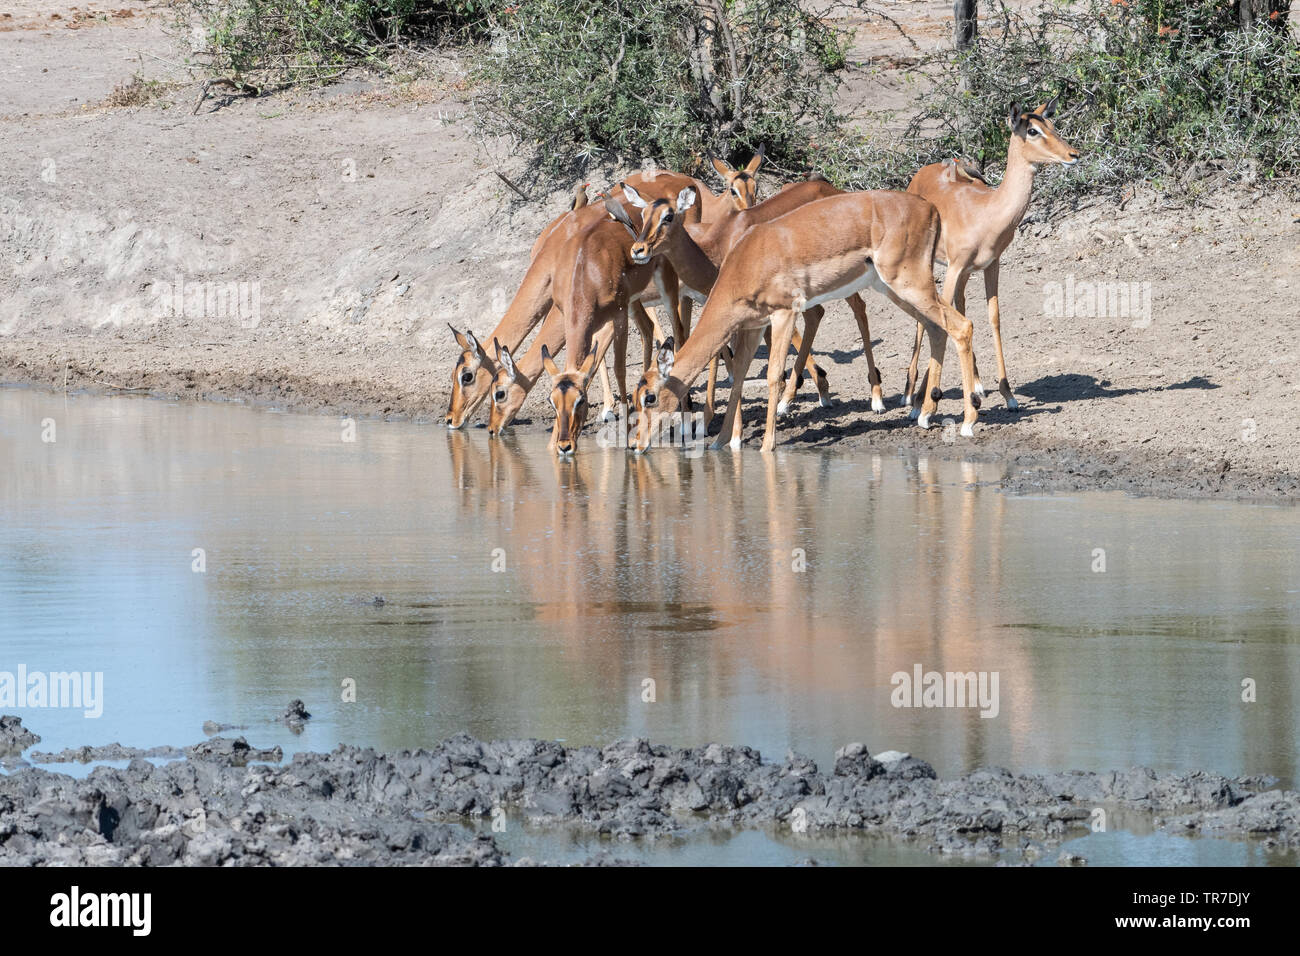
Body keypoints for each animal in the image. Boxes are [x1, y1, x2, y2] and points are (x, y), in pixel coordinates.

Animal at [632, 190, 980, 453]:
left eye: (650, 397)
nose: (636, 445)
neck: (744, 259)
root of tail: (930, 208)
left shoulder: (784, 313)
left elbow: (774, 375)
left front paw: (767, 445)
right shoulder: (753, 325)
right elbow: (739, 377)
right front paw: (721, 444)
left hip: (909, 285)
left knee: (962, 326)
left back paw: (966, 421)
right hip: (895, 290)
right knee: (937, 329)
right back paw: (922, 413)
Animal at [903, 98, 1079, 413]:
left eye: (1051, 124)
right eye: (1032, 130)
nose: (1073, 155)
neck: (986, 212)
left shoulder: (990, 264)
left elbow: (993, 316)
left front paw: (1008, 394)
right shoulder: (955, 267)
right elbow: (941, 319)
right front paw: (925, 401)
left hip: (964, 273)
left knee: (959, 307)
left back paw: (975, 385)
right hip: (931, 265)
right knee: (926, 314)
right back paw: (910, 393)